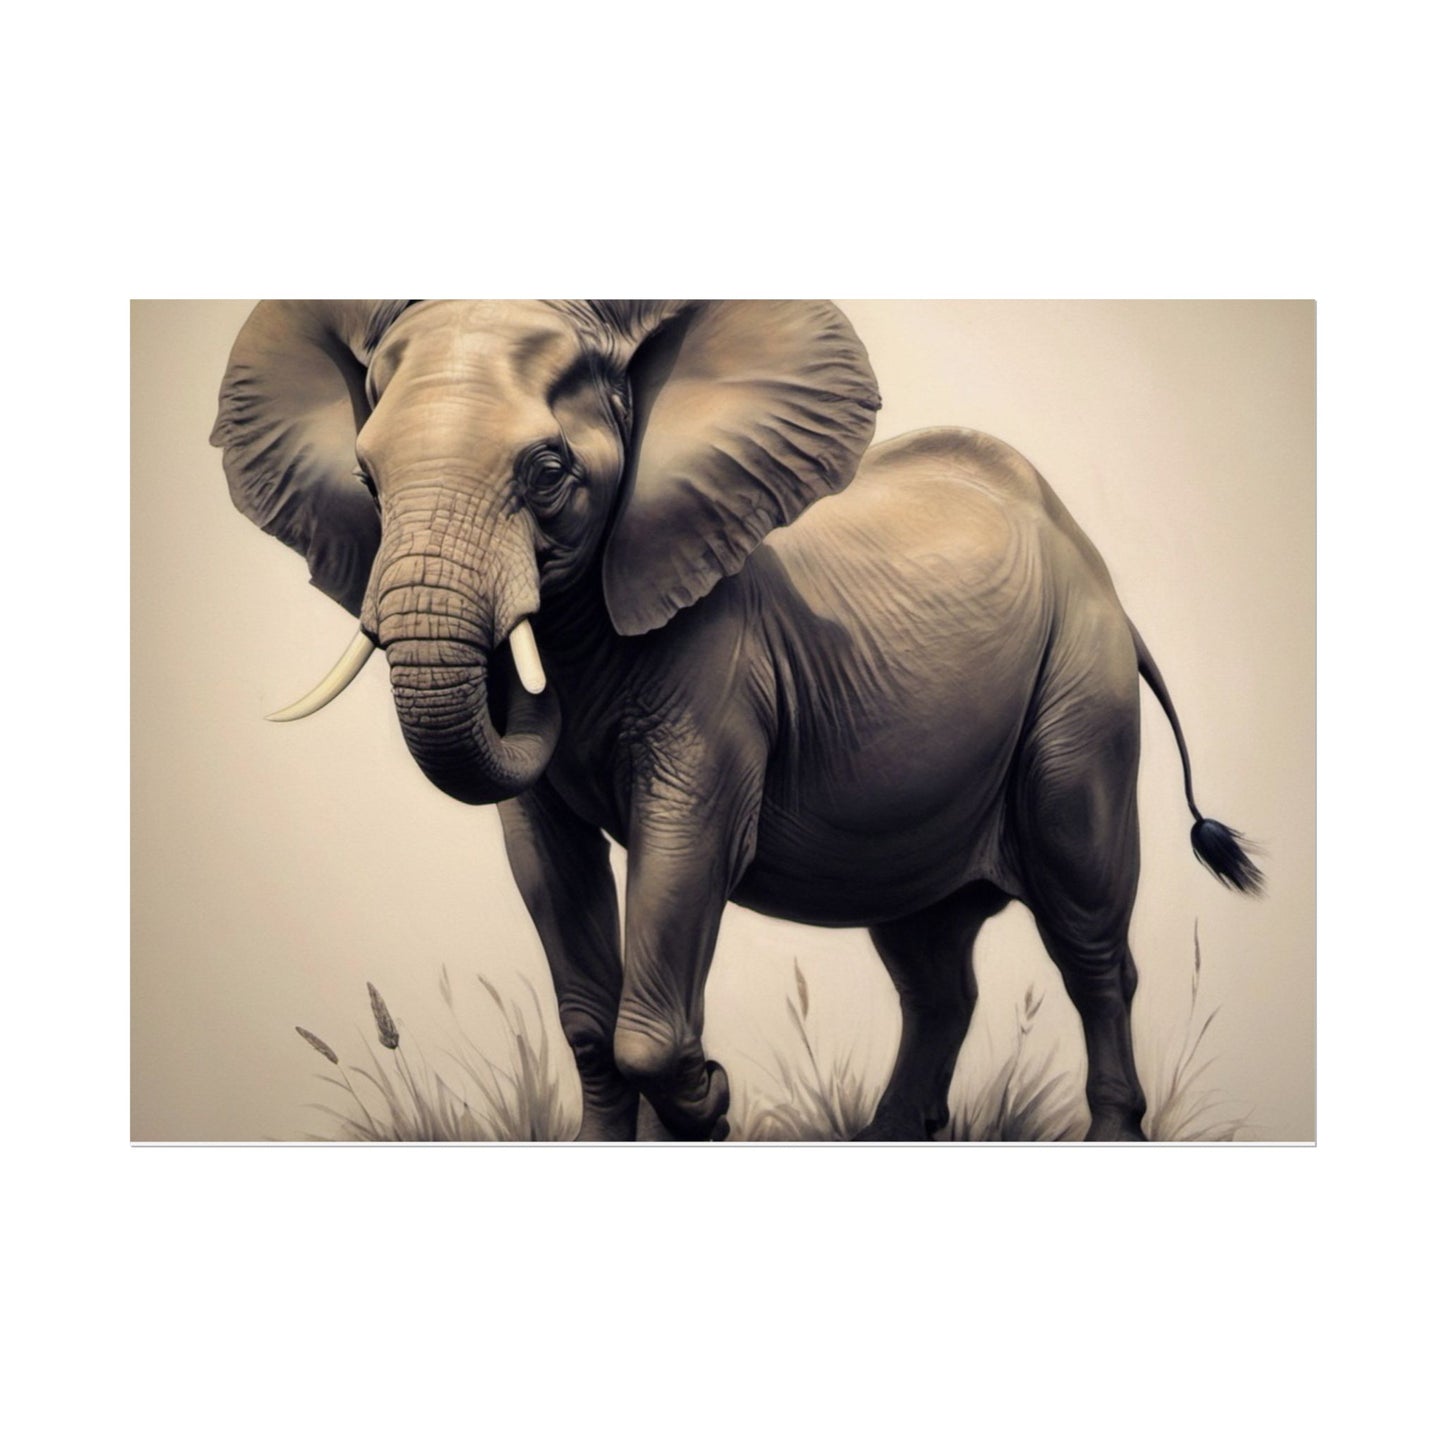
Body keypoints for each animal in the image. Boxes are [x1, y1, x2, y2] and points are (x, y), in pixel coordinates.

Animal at [212, 299, 1262, 1142]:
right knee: (930, 963)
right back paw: (885, 1139)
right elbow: (552, 884)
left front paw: (711, 1102)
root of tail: (1098, 571)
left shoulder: (724, 658)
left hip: (1079, 691)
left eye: (548, 471)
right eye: (366, 479)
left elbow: (687, 843)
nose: (531, 675)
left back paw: (1109, 1134)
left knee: (1087, 932)